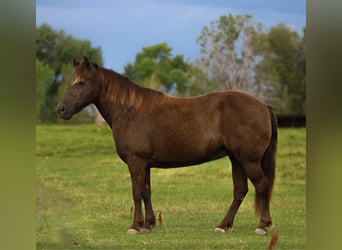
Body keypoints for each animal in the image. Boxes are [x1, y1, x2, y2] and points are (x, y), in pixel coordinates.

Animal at [54, 56, 276, 234]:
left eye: (81, 82)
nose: (60, 109)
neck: (130, 111)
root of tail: (264, 106)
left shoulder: (136, 162)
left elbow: (136, 192)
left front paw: (135, 226)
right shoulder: (145, 164)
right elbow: (146, 192)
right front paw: (148, 224)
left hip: (248, 160)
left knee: (261, 185)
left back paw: (262, 226)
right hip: (236, 159)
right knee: (240, 190)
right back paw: (223, 225)